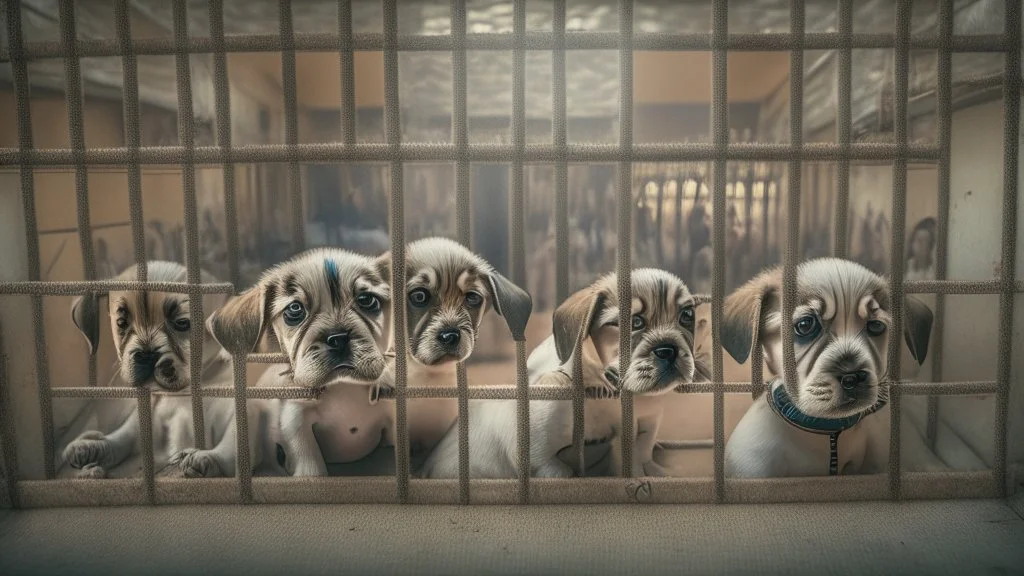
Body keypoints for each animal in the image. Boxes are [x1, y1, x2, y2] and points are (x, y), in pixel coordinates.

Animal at [59, 260, 272, 475]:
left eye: (182, 323)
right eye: (121, 323)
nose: (146, 355)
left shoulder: (242, 415)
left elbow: (232, 449)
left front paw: (206, 458)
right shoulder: (147, 421)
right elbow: (122, 438)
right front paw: (93, 447)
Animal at [419, 266, 700, 477]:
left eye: (687, 316)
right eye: (634, 322)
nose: (670, 350)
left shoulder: (648, 423)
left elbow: (640, 452)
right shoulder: (537, 451)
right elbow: (561, 469)